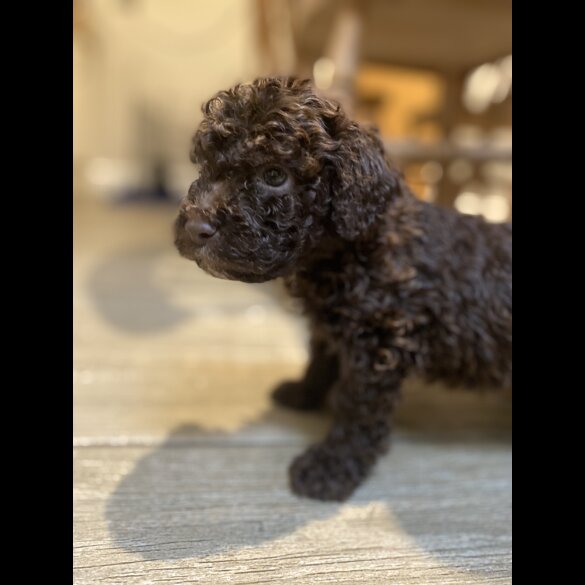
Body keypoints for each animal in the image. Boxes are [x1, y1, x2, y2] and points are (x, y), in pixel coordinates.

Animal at [173, 75, 512, 500]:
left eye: (274, 175)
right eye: (205, 165)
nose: (193, 227)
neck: (344, 254)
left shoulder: (380, 345)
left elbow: (356, 409)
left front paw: (329, 468)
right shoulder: (332, 321)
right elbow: (321, 357)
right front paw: (303, 393)